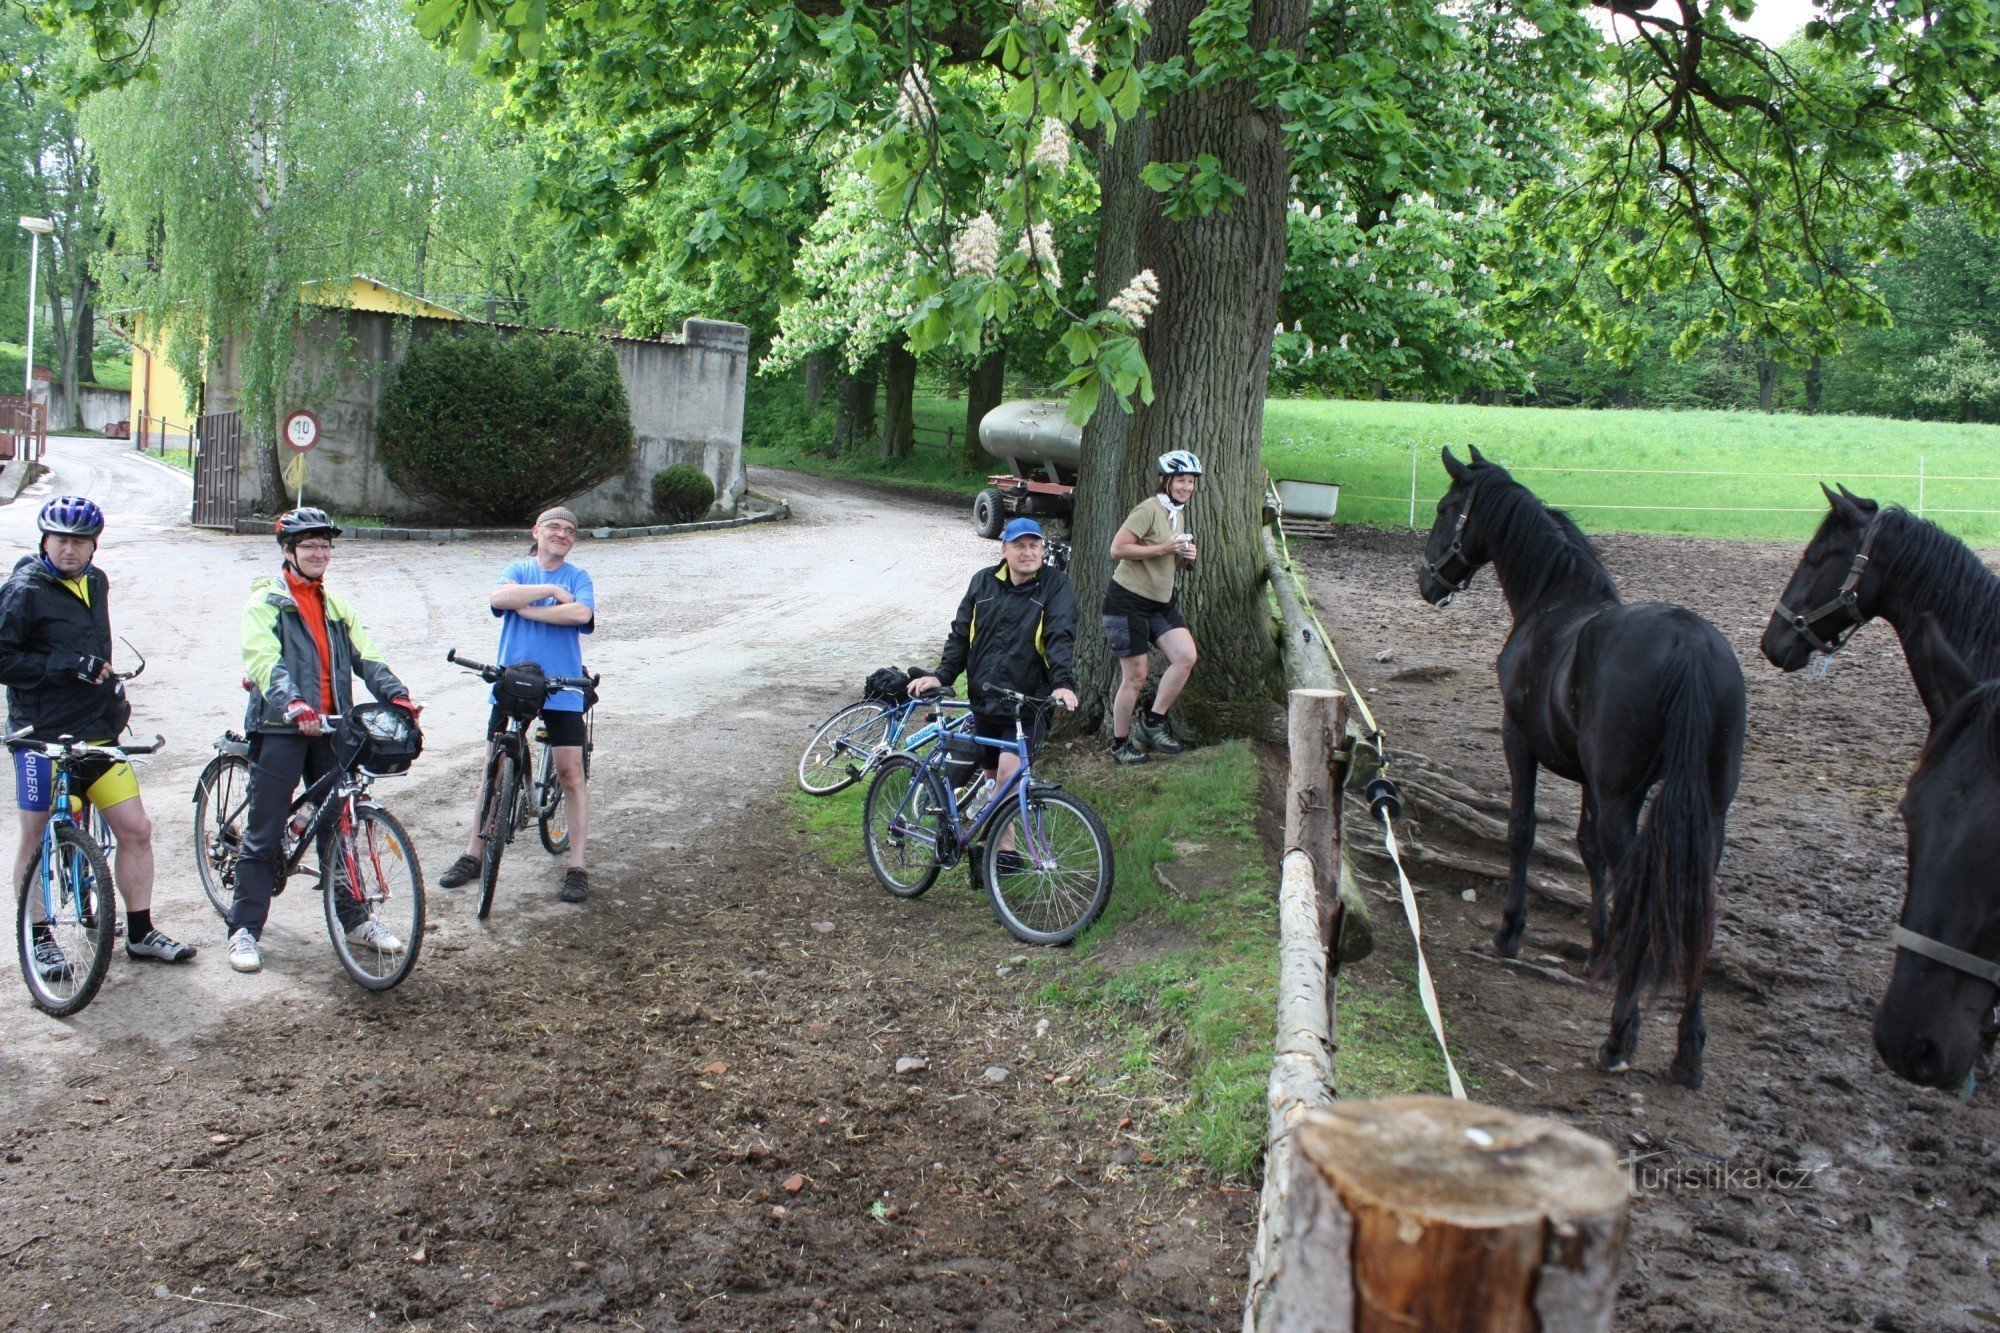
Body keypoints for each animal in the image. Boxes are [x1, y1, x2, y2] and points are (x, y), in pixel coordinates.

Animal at [1416, 440, 1744, 1088]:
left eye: (1445, 508)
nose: (1425, 579)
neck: (1554, 602)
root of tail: (1691, 647)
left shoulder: (1518, 740)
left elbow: (1523, 828)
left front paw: (1511, 930)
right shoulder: (1594, 782)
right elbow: (1588, 851)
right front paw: (1599, 947)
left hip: (1624, 800)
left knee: (1646, 884)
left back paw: (1620, 1035)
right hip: (1706, 811)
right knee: (1698, 899)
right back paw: (1687, 1050)